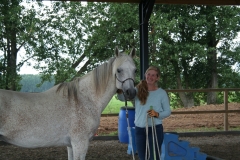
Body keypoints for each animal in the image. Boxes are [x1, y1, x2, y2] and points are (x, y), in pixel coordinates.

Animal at [0, 47, 136, 159]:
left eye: (135, 70)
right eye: (119, 70)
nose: (131, 92)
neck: (84, 99)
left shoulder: (71, 145)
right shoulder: (80, 143)